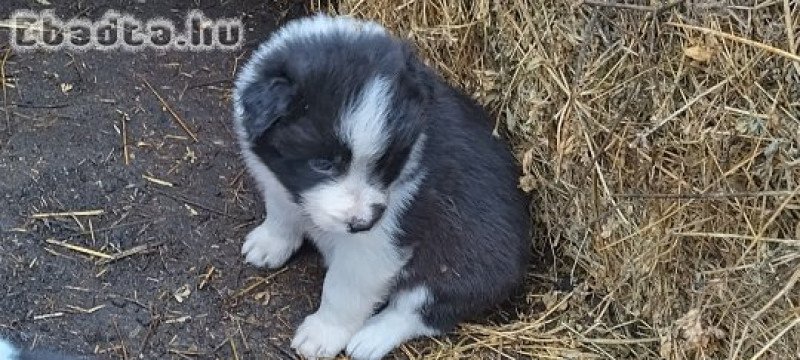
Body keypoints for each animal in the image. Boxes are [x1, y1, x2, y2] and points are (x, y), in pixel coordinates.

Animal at [231, 14, 532, 360]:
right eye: (323, 164)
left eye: (387, 162)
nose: (363, 223)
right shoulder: (280, 185)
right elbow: (281, 211)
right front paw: (270, 243)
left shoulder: (375, 247)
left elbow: (343, 289)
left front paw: (323, 333)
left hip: (460, 267)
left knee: (421, 311)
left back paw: (371, 337)